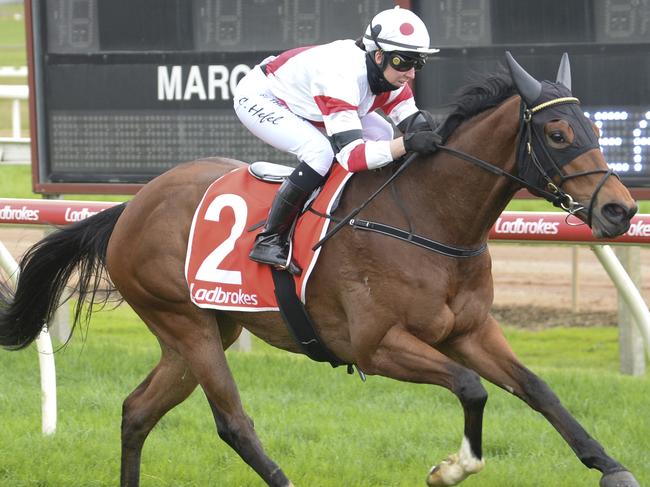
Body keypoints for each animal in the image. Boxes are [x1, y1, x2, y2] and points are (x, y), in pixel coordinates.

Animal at [0, 53, 636, 487]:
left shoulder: (470, 330)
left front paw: (610, 465)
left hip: (204, 329)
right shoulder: (375, 346)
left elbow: (537, 388)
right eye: (558, 133)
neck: (429, 220)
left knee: (136, 411)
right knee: (233, 423)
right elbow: (470, 387)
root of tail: (130, 206)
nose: (621, 210)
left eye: (596, 127)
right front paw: (450, 468)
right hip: (186, 324)